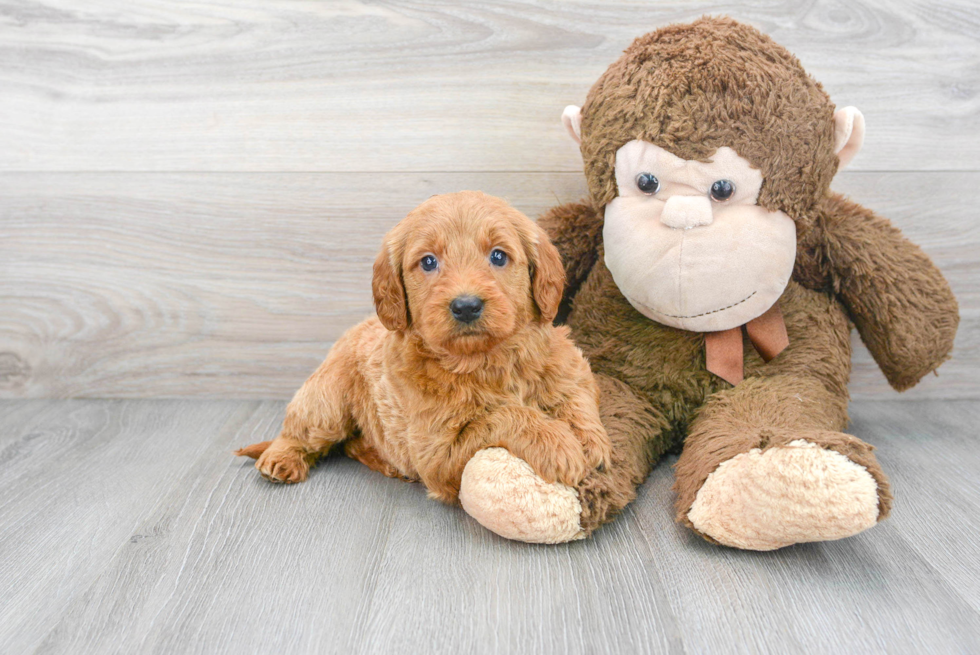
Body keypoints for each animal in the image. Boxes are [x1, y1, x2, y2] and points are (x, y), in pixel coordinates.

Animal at [237, 192, 608, 504]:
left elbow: (577, 397)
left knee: (351, 443)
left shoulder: (570, 366)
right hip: (326, 401)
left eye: (498, 256)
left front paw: (592, 444)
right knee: (302, 431)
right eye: (428, 262)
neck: (487, 360)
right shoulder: (437, 454)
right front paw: (557, 443)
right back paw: (280, 458)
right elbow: (502, 415)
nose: (466, 306)